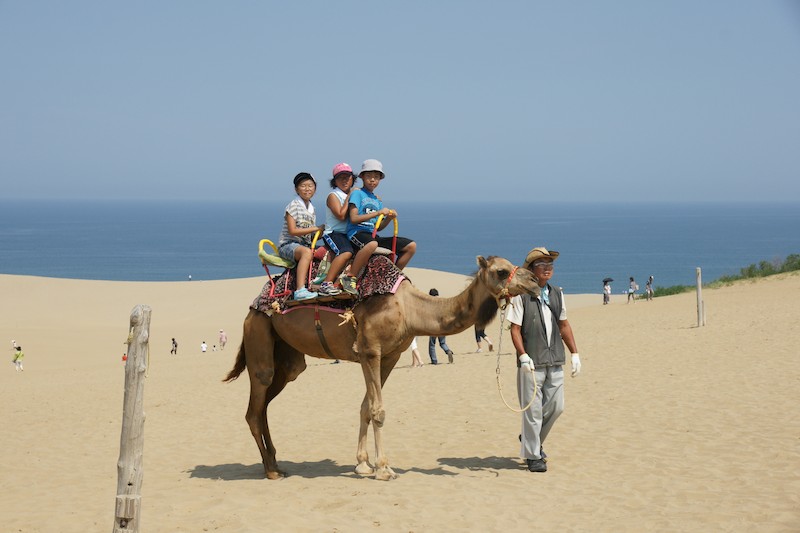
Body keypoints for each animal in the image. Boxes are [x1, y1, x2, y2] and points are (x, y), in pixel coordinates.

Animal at [224, 255, 540, 480]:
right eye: (501, 271)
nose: (535, 280)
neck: (411, 310)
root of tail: (253, 306)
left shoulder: (389, 356)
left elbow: (366, 407)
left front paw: (363, 465)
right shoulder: (369, 351)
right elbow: (378, 410)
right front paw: (384, 469)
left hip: (288, 356)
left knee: (267, 402)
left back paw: (277, 463)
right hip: (259, 333)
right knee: (255, 405)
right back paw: (270, 470)